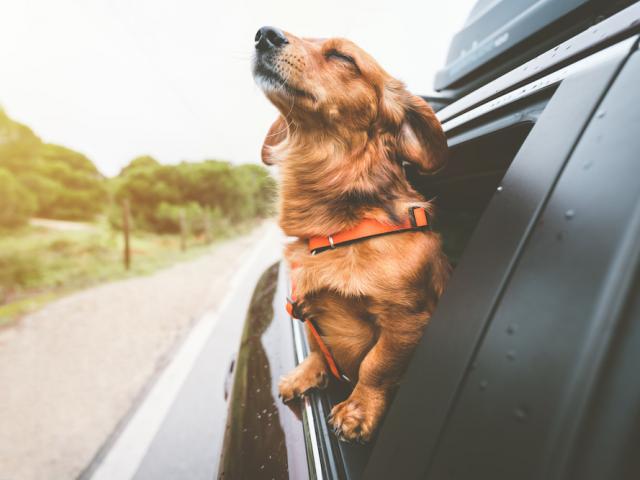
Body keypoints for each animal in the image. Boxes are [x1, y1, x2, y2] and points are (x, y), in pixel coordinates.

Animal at [251, 26, 450, 442]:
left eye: (343, 58)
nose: (264, 34)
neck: (337, 232)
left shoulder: (406, 321)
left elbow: (376, 365)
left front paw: (358, 409)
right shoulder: (306, 307)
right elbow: (316, 345)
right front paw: (309, 373)